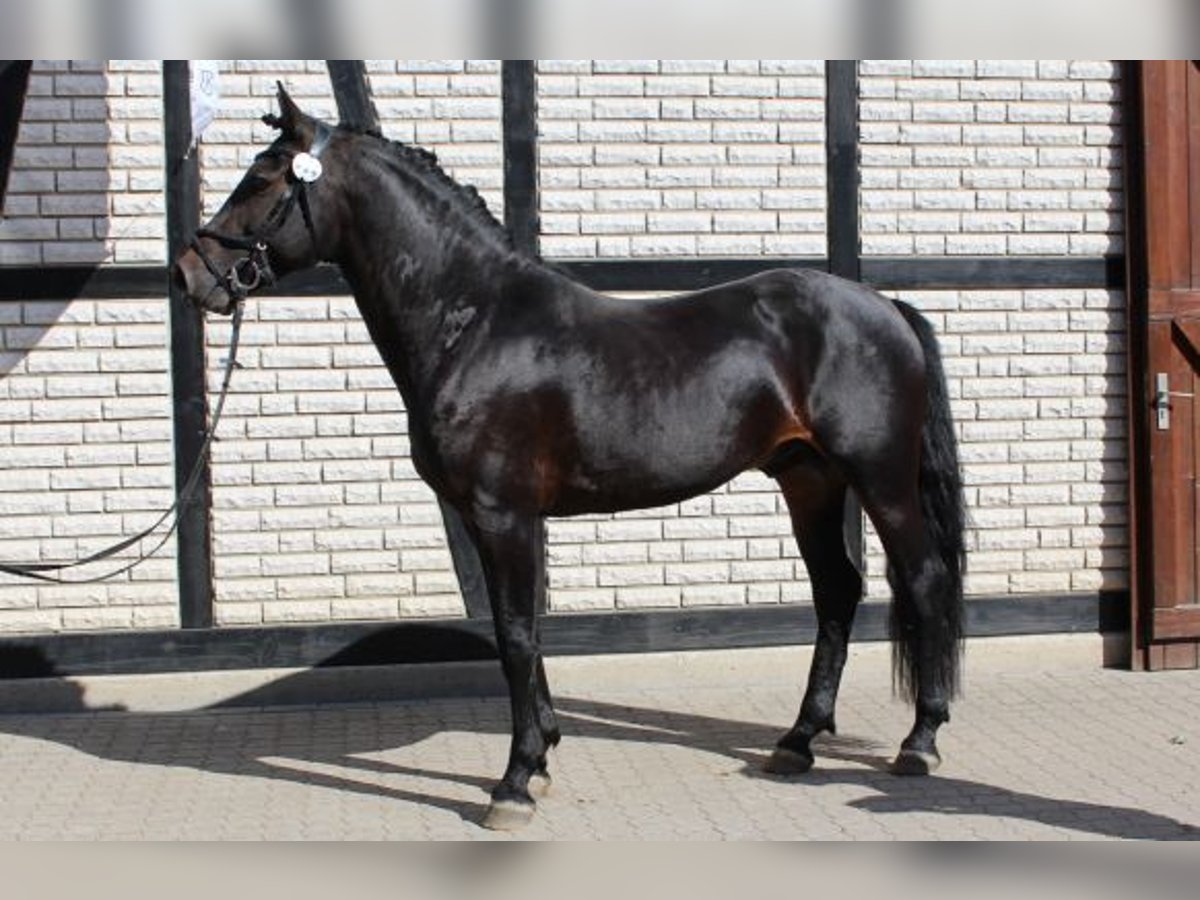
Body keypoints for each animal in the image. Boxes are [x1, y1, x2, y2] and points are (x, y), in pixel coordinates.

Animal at [174, 84, 966, 831]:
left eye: (262, 179)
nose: (189, 272)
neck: (476, 323)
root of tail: (884, 307)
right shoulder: (488, 520)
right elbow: (516, 632)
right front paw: (544, 755)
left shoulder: (504, 514)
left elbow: (517, 635)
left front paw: (515, 781)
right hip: (809, 479)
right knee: (836, 591)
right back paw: (797, 742)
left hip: (880, 478)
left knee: (924, 579)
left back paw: (920, 742)